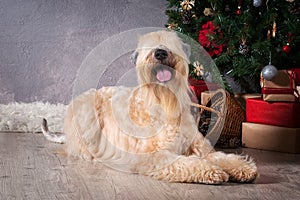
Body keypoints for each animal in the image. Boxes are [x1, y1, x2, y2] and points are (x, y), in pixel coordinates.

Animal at [42, 30, 258, 184]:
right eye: (149, 46)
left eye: (171, 43)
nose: (160, 53)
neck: (165, 104)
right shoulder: (154, 156)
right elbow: (187, 163)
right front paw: (210, 171)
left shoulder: (202, 148)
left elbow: (222, 157)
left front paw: (243, 168)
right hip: (87, 111)